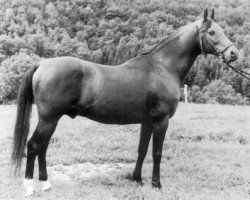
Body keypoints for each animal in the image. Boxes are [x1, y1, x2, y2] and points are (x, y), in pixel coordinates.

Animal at [11, 8, 238, 196]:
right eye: (212, 32)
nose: (233, 53)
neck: (162, 67)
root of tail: (42, 64)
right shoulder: (161, 121)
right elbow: (156, 152)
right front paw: (156, 184)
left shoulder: (147, 121)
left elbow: (142, 150)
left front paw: (136, 179)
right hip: (49, 119)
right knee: (34, 145)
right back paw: (30, 187)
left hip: (51, 120)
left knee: (42, 147)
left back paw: (46, 184)